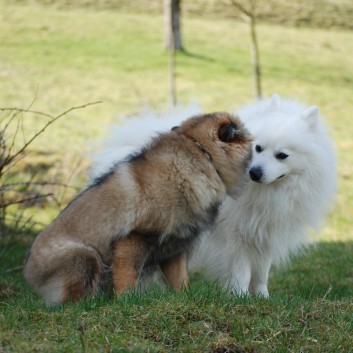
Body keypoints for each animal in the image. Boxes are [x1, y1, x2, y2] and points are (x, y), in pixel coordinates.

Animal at [24, 111, 250, 304]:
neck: (201, 152)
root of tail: (30, 270)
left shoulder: (175, 247)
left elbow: (180, 280)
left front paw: (184, 298)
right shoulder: (133, 238)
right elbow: (127, 277)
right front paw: (126, 301)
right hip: (84, 256)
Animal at [89, 95, 334, 296]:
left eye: (282, 155)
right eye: (258, 148)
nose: (254, 172)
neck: (268, 192)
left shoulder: (264, 233)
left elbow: (261, 273)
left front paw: (262, 298)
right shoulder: (236, 235)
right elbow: (242, 271)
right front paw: (239, 297)